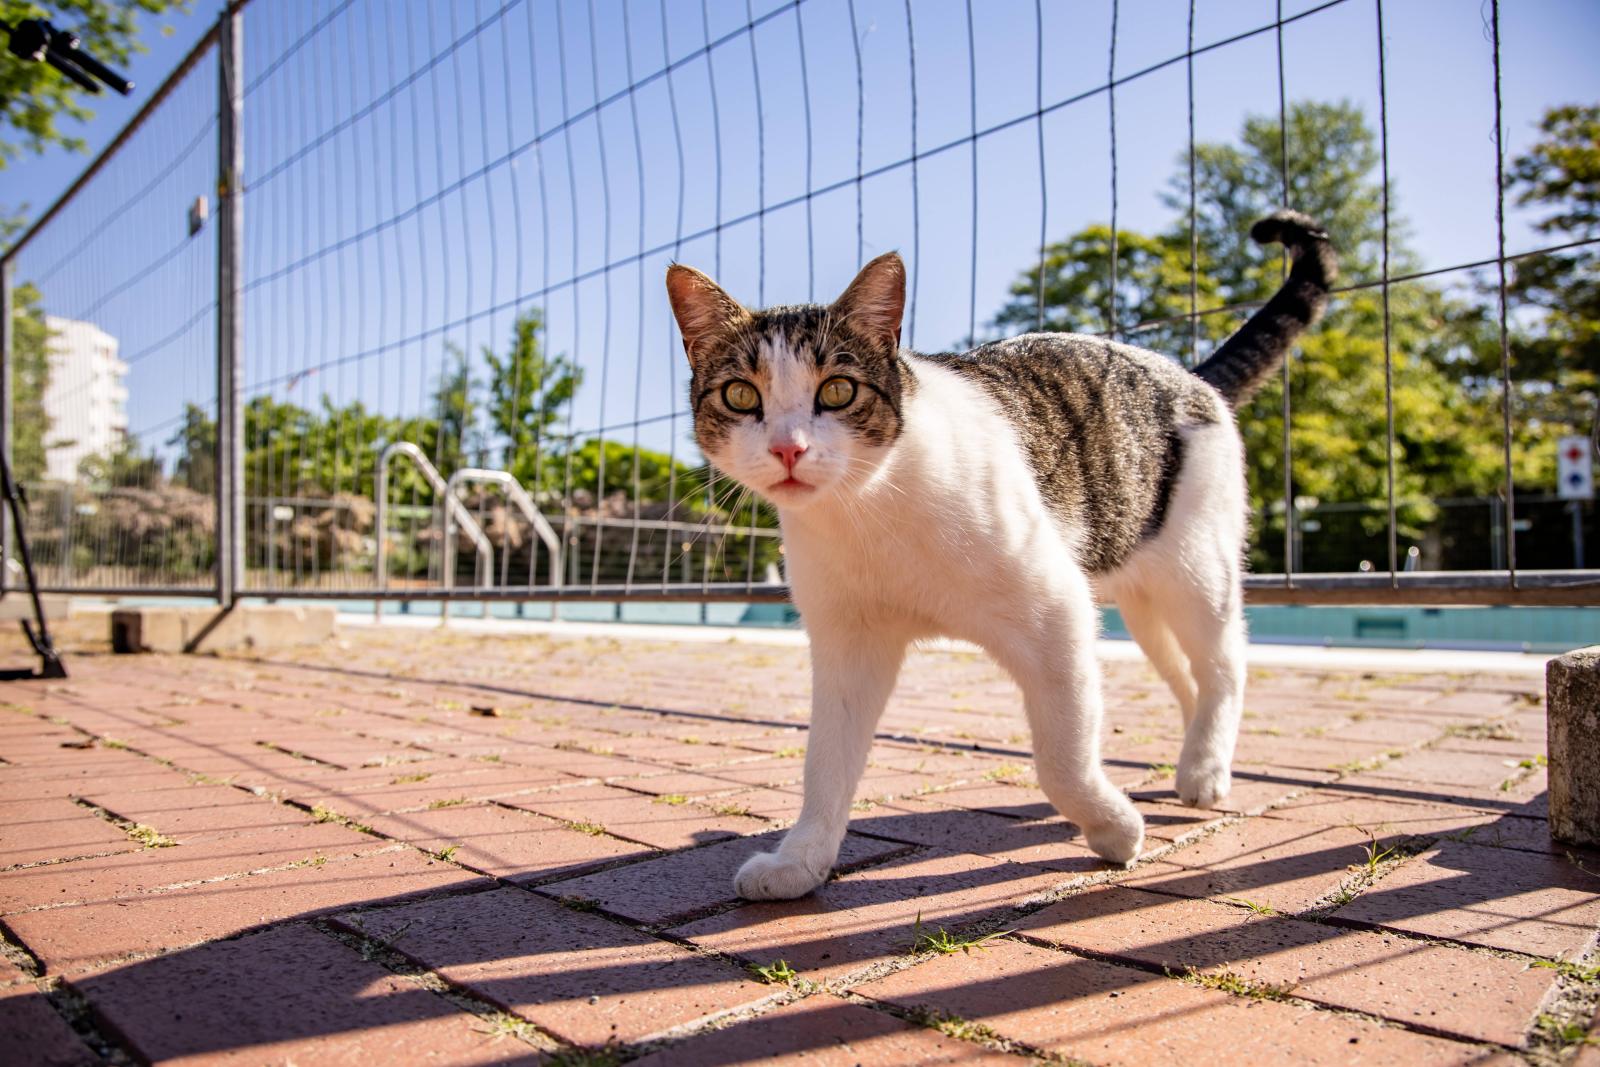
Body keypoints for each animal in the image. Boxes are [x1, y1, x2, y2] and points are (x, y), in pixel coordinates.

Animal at [665, 211, 1337, 902]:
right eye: (741, 396)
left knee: (1225, 664)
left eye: (840, 390)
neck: (869, 510)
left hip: (1196, 571)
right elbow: (825, 762)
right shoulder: (848, 644)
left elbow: (1062, 759)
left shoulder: (1056, 612)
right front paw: (801, 860)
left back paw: (1204, 768)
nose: (789, 449)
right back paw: (1195, 751)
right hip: (1143, 594)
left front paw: (1115, 829)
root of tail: (1192, 374)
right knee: (1188, 675)